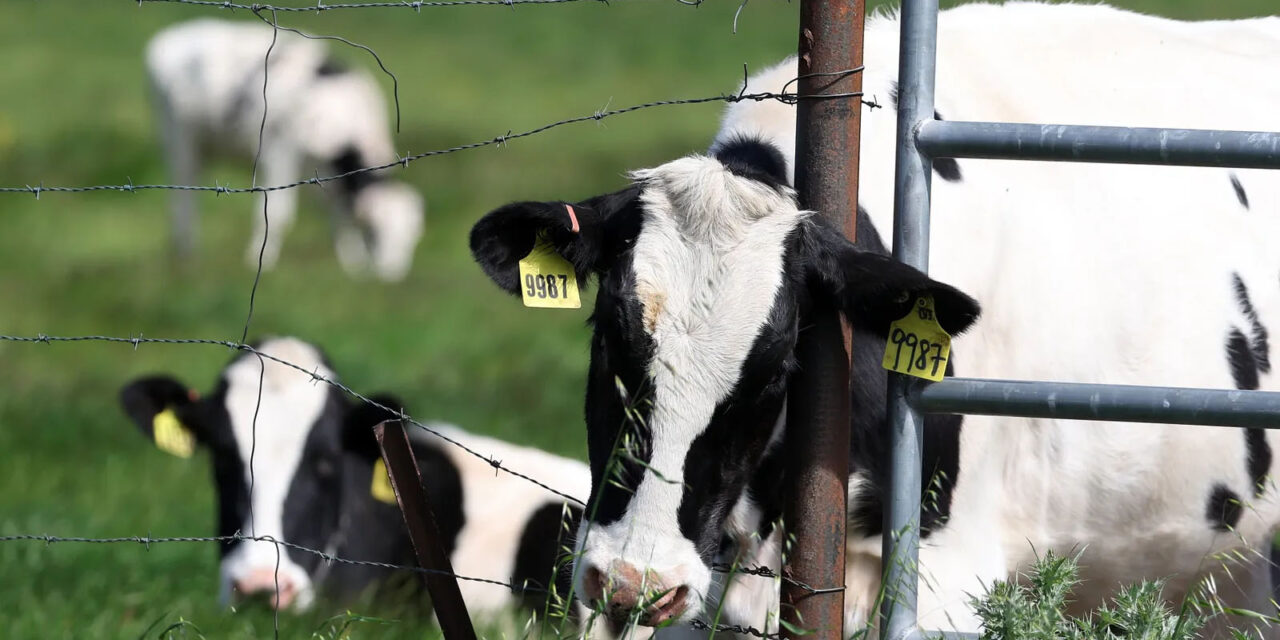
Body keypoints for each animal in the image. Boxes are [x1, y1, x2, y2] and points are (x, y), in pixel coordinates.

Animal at [145, 18, 424, 280]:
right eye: (374, 232)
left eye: (411, 238)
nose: (391, 275)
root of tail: (172, 36)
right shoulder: (278, 152)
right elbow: (278, 214)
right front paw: (259, 262)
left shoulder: (327, 175)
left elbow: (339, 217)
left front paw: (352, 267)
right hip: (179, 139)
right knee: (183, 199)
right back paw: (186, 254)